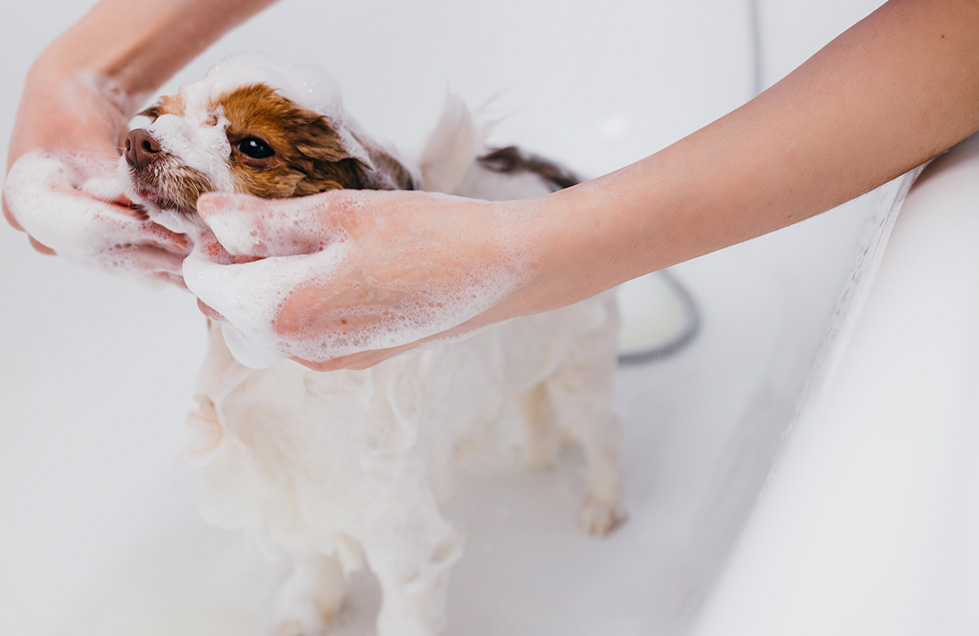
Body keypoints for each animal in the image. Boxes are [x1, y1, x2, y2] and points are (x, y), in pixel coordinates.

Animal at [120, 54, 628, 636]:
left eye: (253, 145)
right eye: (161, 113)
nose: (137, 140)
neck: (293, 379)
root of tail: (557, 175)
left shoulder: (400, 529)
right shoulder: (301, 492)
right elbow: (314, 564)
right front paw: (305, 613)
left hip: (581, 366)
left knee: (603, 433)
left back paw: (602, 504)